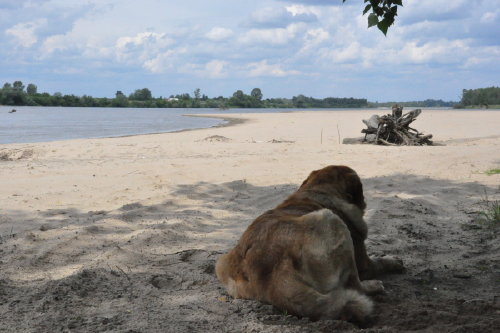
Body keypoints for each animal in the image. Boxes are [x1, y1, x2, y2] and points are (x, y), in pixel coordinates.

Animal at [217, 166, 404, 322]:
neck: (319, 190)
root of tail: (274, 270)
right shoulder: (364, 263)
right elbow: (377, 263)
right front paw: (393, 261)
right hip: (330, 219)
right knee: (355, 284)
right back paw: (373, 286)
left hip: (221, 263)